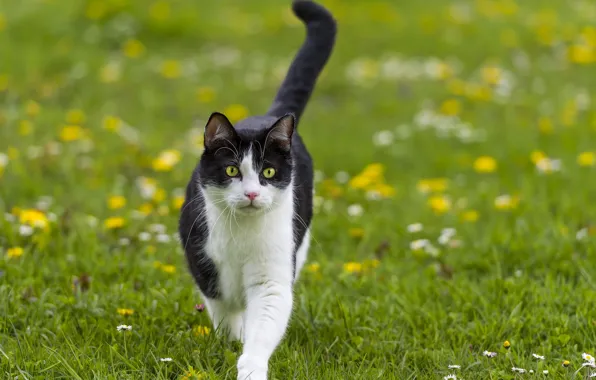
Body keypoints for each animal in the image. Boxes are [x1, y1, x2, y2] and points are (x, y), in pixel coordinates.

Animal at [177, 1, 336, 378]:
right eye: (232, 170)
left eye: (268, 172)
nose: (251, 194)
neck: (242, 236)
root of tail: (266, 117)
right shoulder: (203, 261)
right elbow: (222, 309)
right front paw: (229, 341)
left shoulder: (273, 277)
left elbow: (264, 322)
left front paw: (250, 367)